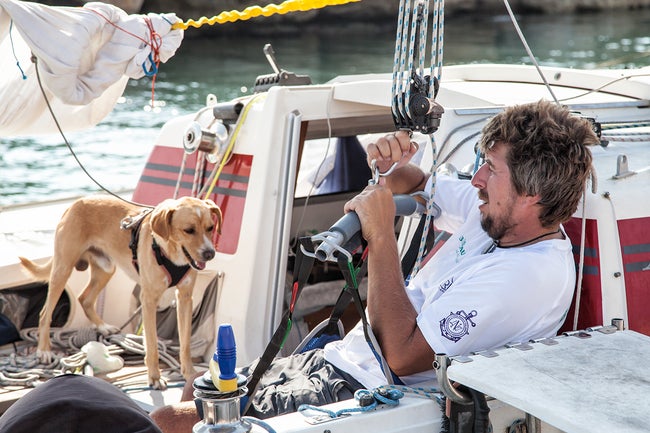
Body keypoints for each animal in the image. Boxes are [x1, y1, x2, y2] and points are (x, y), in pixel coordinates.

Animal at [19, 196, 221, 388]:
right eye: (189, 230)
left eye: (210, 227)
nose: (210, 253)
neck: (170, 251)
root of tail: (76, 203)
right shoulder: (148, 300)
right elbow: (152, 345)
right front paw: (154, 377)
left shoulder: (185, 298)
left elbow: (185, 344)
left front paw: (189, 374)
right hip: (63, 269)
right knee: (45, 312)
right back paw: (44, 350)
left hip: (106, 268)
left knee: (85, 298)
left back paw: (103, 327)